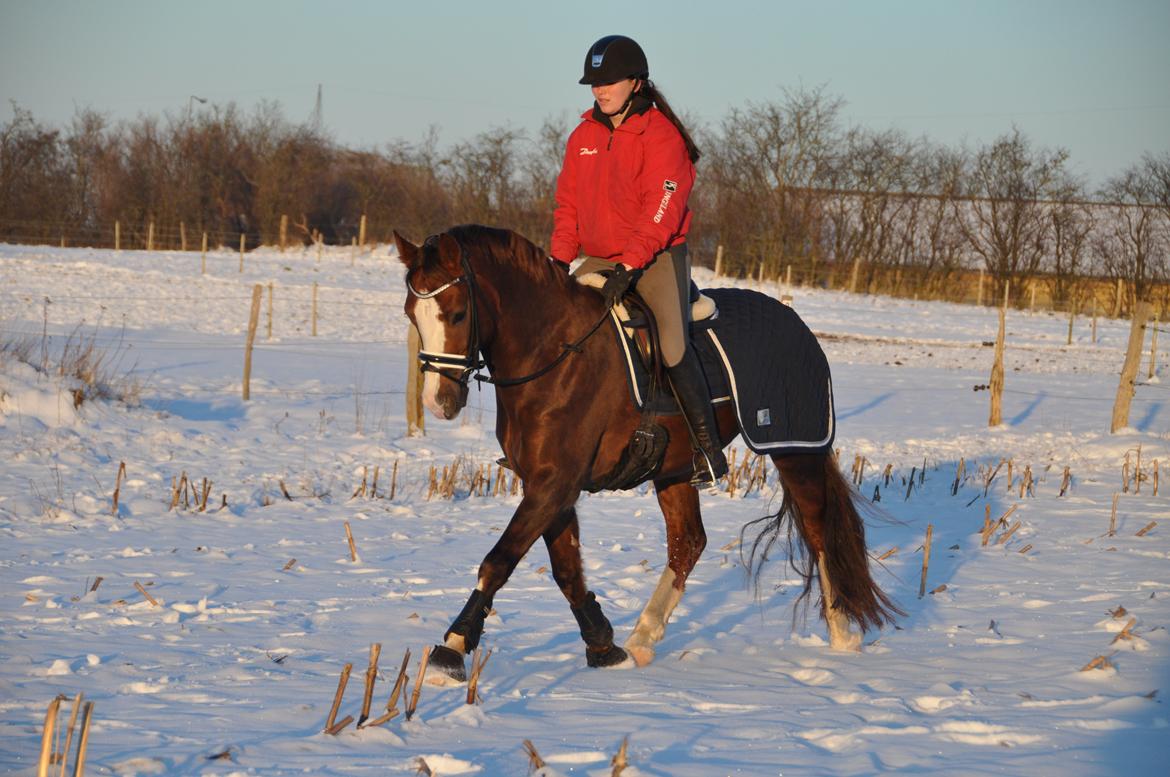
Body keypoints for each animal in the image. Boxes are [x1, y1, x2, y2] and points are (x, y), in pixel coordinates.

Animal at [397, 225, 898, 688]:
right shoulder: (549, 486)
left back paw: (842, 633)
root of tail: (795, 321)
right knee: (688, 542)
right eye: (411, 314)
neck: (555, 352)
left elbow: (499, 561)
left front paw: (451, 649)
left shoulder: (555, 484)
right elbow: (566, 571)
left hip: (794, 450)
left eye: (458, 313)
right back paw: (641, 638)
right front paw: (603, 646)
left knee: (818, 531)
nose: (439, 403)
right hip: (676, 467)